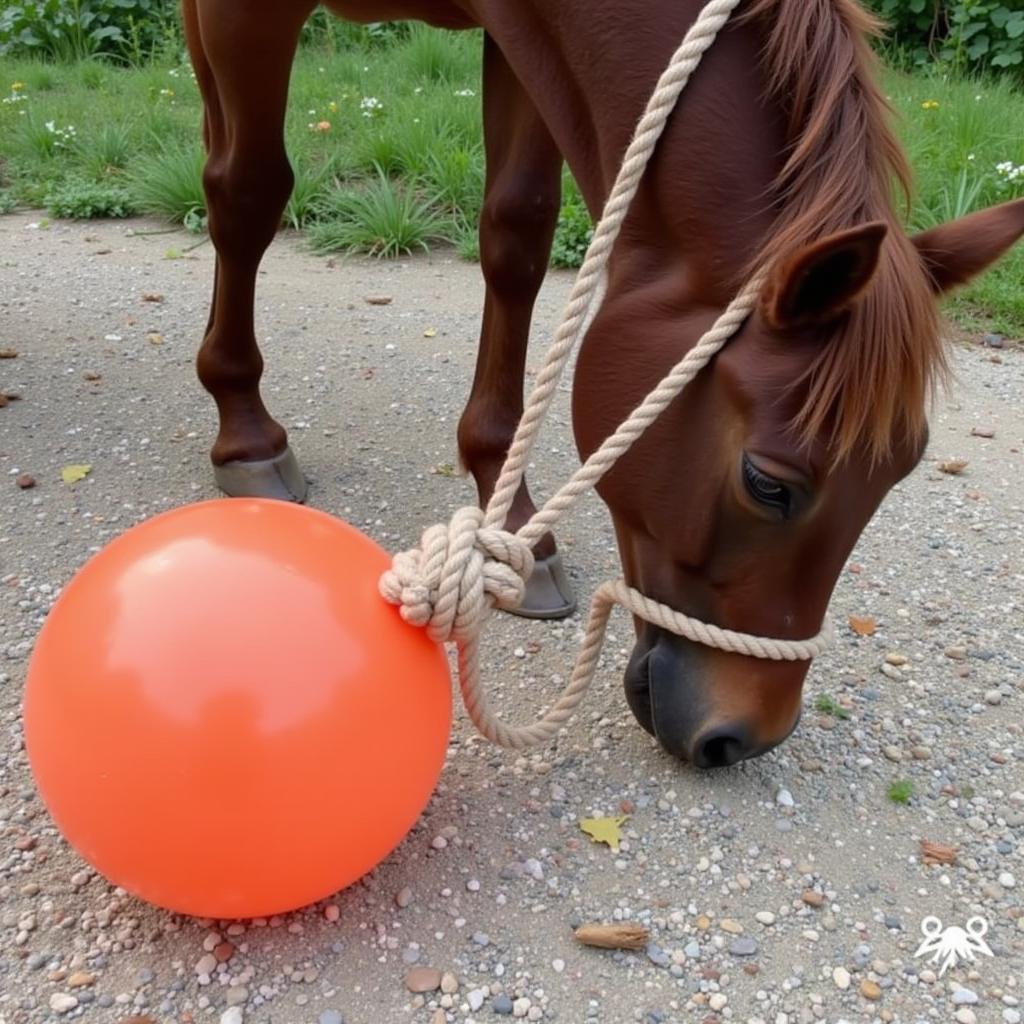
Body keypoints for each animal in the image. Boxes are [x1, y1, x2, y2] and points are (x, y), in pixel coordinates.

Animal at [178, 0, 1024, 770]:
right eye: (768, 482)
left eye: (899, 474)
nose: (744, 736)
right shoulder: (248, 9)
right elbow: (248, 193)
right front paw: (246, 434)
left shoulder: (516, 38)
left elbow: (516, 231)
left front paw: (511, 498)